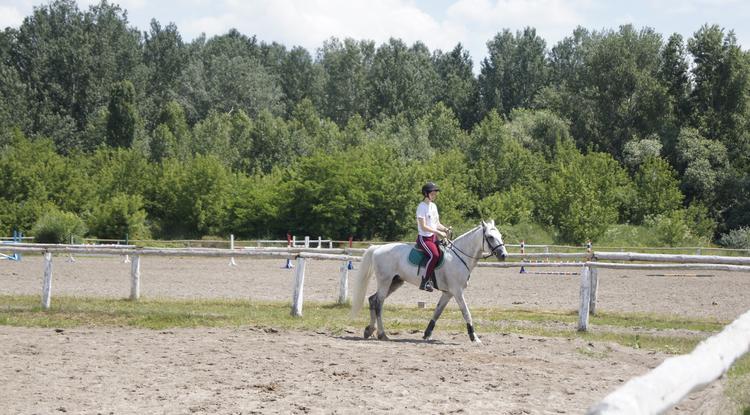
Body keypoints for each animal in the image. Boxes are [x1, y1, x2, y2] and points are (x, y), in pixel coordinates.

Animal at [354, 221, 512, 344]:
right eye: (490, 237)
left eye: (500, 236)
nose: (504, 255)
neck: (459, 257)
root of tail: (378, 248)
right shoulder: (457, 291)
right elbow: (466, 312)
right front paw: (474, 338)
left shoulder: (448, 293)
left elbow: (437, 312)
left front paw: (427, 334)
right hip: (385, 281)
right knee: (379, 303)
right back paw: (382, 334)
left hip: (395, 282)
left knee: (372, 299)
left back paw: (369, 330)